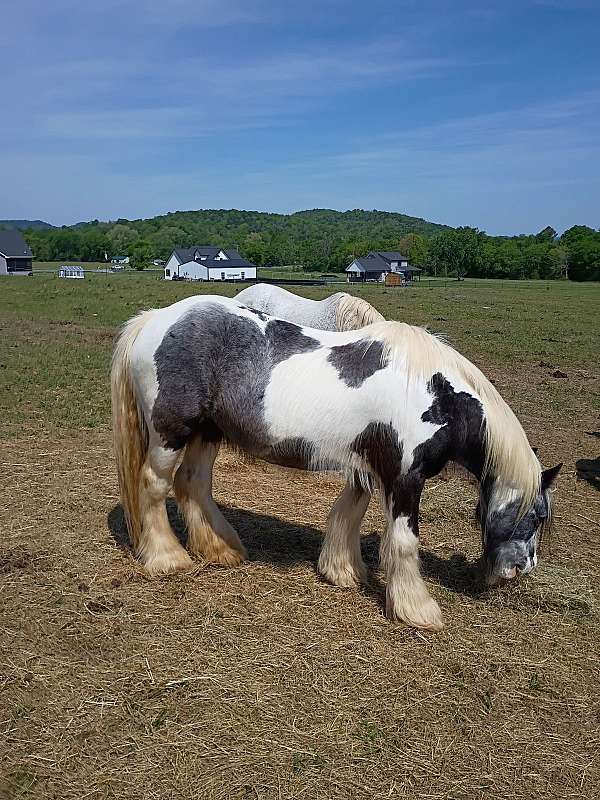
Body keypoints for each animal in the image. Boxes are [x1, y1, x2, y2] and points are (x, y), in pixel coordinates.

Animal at [111, 295, 561, 631]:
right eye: (538, 516)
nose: (521, 570)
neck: (437, 393)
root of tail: (154, 319)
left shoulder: (366, 468)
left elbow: (348, 512)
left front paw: (341, 571)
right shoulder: (405, 478)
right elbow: (403, 540)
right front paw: (417, 610)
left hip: (207, 432)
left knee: (193, 483)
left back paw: (220, 549)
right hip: (171, 434)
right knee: (154, 486)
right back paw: (167, 559)